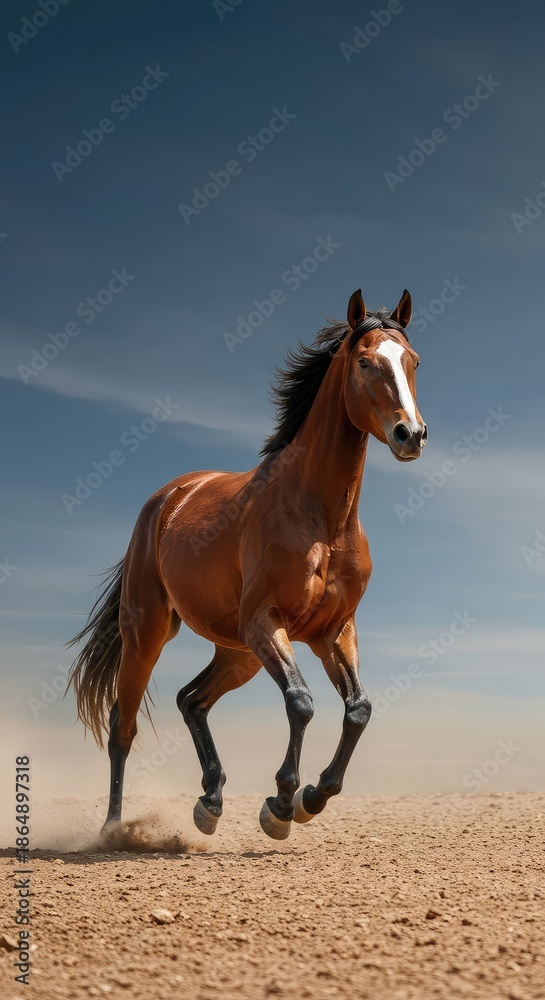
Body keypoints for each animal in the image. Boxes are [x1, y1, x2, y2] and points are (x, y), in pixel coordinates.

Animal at [67, 287, 427, 841]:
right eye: (366, 361)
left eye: (412, 361)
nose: (411, 434)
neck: (321, 517)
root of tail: (168, 497)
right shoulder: (266, 621)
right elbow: (301, 702)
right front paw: (280, 804)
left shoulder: (334, 631)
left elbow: (358, 710)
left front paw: (311, 798)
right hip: (150, 633)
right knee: (121, 726)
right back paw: (113, 829)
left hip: (238, 653)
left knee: (190, 700)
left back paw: (210, 802)